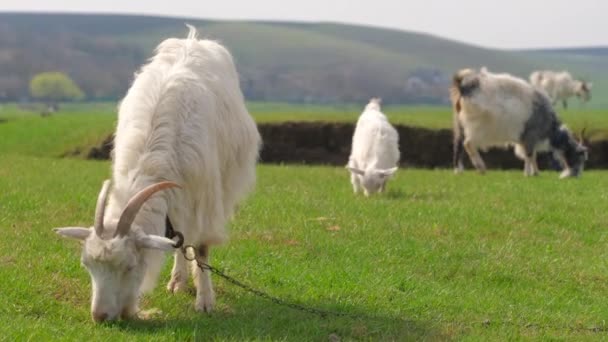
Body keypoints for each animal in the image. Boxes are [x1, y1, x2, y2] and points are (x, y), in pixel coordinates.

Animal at [53, 25, 260, 322]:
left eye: (129, 266)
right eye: (87, 265)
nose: (100, 316)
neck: (152, 162)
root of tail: (192, 40)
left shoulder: (204, 199)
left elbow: (201, 248)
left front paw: (205, 301)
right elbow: (177, 240)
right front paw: (181, 283)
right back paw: (177, 281)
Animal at [454, 68, 588, 178]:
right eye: (580, 156)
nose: (575, 176)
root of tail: (463, 86)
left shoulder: (527, 139)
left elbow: (532, 155)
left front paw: (535, 173)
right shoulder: (530, 136)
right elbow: (529, 155)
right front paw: (528, 174)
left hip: (460, 124)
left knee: (459, 145)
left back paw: (458, 170)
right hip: (479, 127)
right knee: (468, 144)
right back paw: (481, 168)